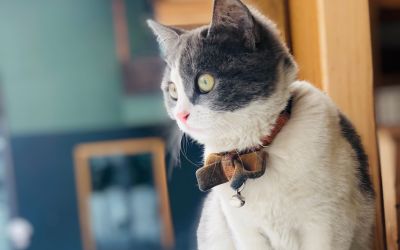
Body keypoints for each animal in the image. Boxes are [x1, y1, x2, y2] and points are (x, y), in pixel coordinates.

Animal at [147, 0, 376, 248]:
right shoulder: (245, 232)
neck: (255, 152)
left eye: (205, 82)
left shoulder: (326, 223)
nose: (181, 115)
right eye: (172, 91)